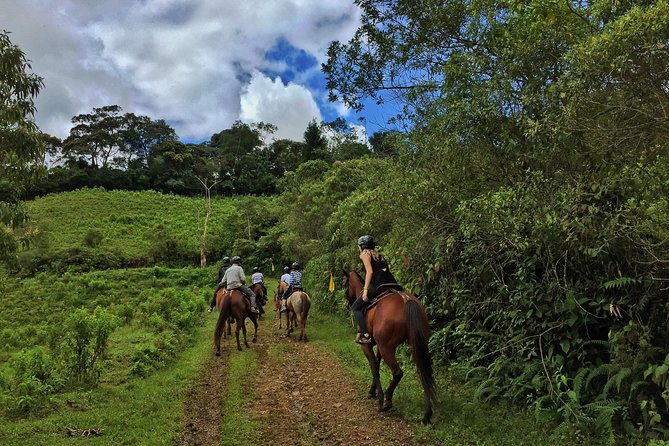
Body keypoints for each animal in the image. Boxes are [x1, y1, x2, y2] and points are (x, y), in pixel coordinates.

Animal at [342, 270, 436, 424]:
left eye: (345, 283)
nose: (346, 301)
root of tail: (406, 300)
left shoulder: (367, 346)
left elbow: (374, 368)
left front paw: (378, 397)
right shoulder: (380, 346)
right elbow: (377, 365)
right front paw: (372, 391)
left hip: (388, 349)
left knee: (398, 373)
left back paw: (387, 400)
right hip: (415, 346)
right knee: (423, 373)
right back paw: (427, 416)